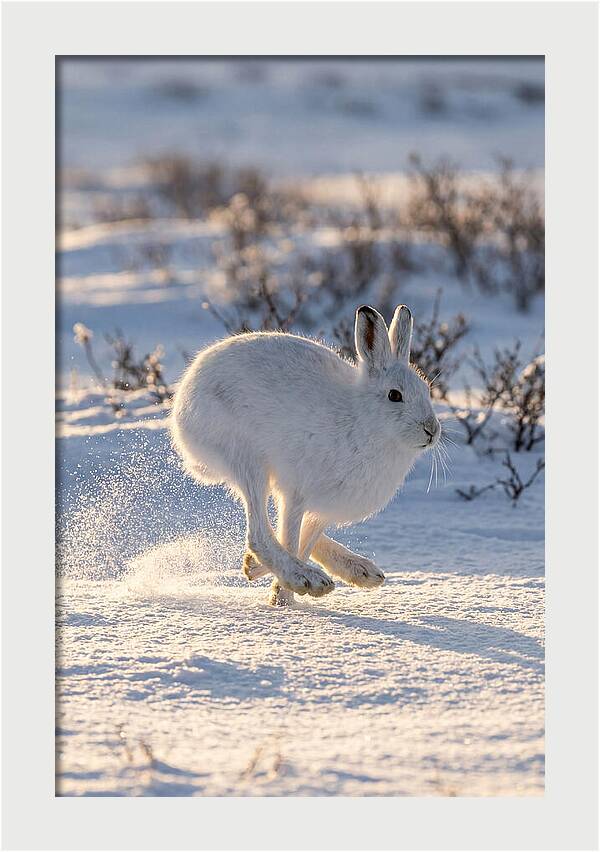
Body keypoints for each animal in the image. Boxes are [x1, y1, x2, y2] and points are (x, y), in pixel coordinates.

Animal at [170, 304, 441, 606]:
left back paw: (359, 571)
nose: (432, 429)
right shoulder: (298, 492)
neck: (364, 421)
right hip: (246, 459)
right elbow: (290, 538)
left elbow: (304, 540)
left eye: (426, 390)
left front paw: (275, 588)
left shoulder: (323, 508)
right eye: (395, 395)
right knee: (259, 533)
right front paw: (284, 598)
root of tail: (182, 402)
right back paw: (305, 578)